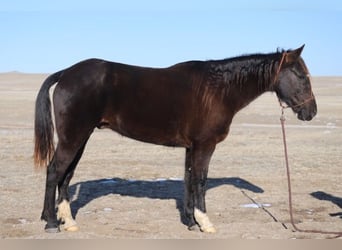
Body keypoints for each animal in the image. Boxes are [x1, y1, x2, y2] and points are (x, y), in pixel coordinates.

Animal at [34, 44, 318, 232]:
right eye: (300, 75)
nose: (311, 112)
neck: (218, 90)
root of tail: (66, 73)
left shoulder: (191, 147)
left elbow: (189, 180)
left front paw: (191, 221)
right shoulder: (205, 145)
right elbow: (200, 180)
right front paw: (205, 223)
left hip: (80, 138)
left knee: (66, 174)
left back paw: (67, 221)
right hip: (73, 138)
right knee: (54, 171)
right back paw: (51, 222)